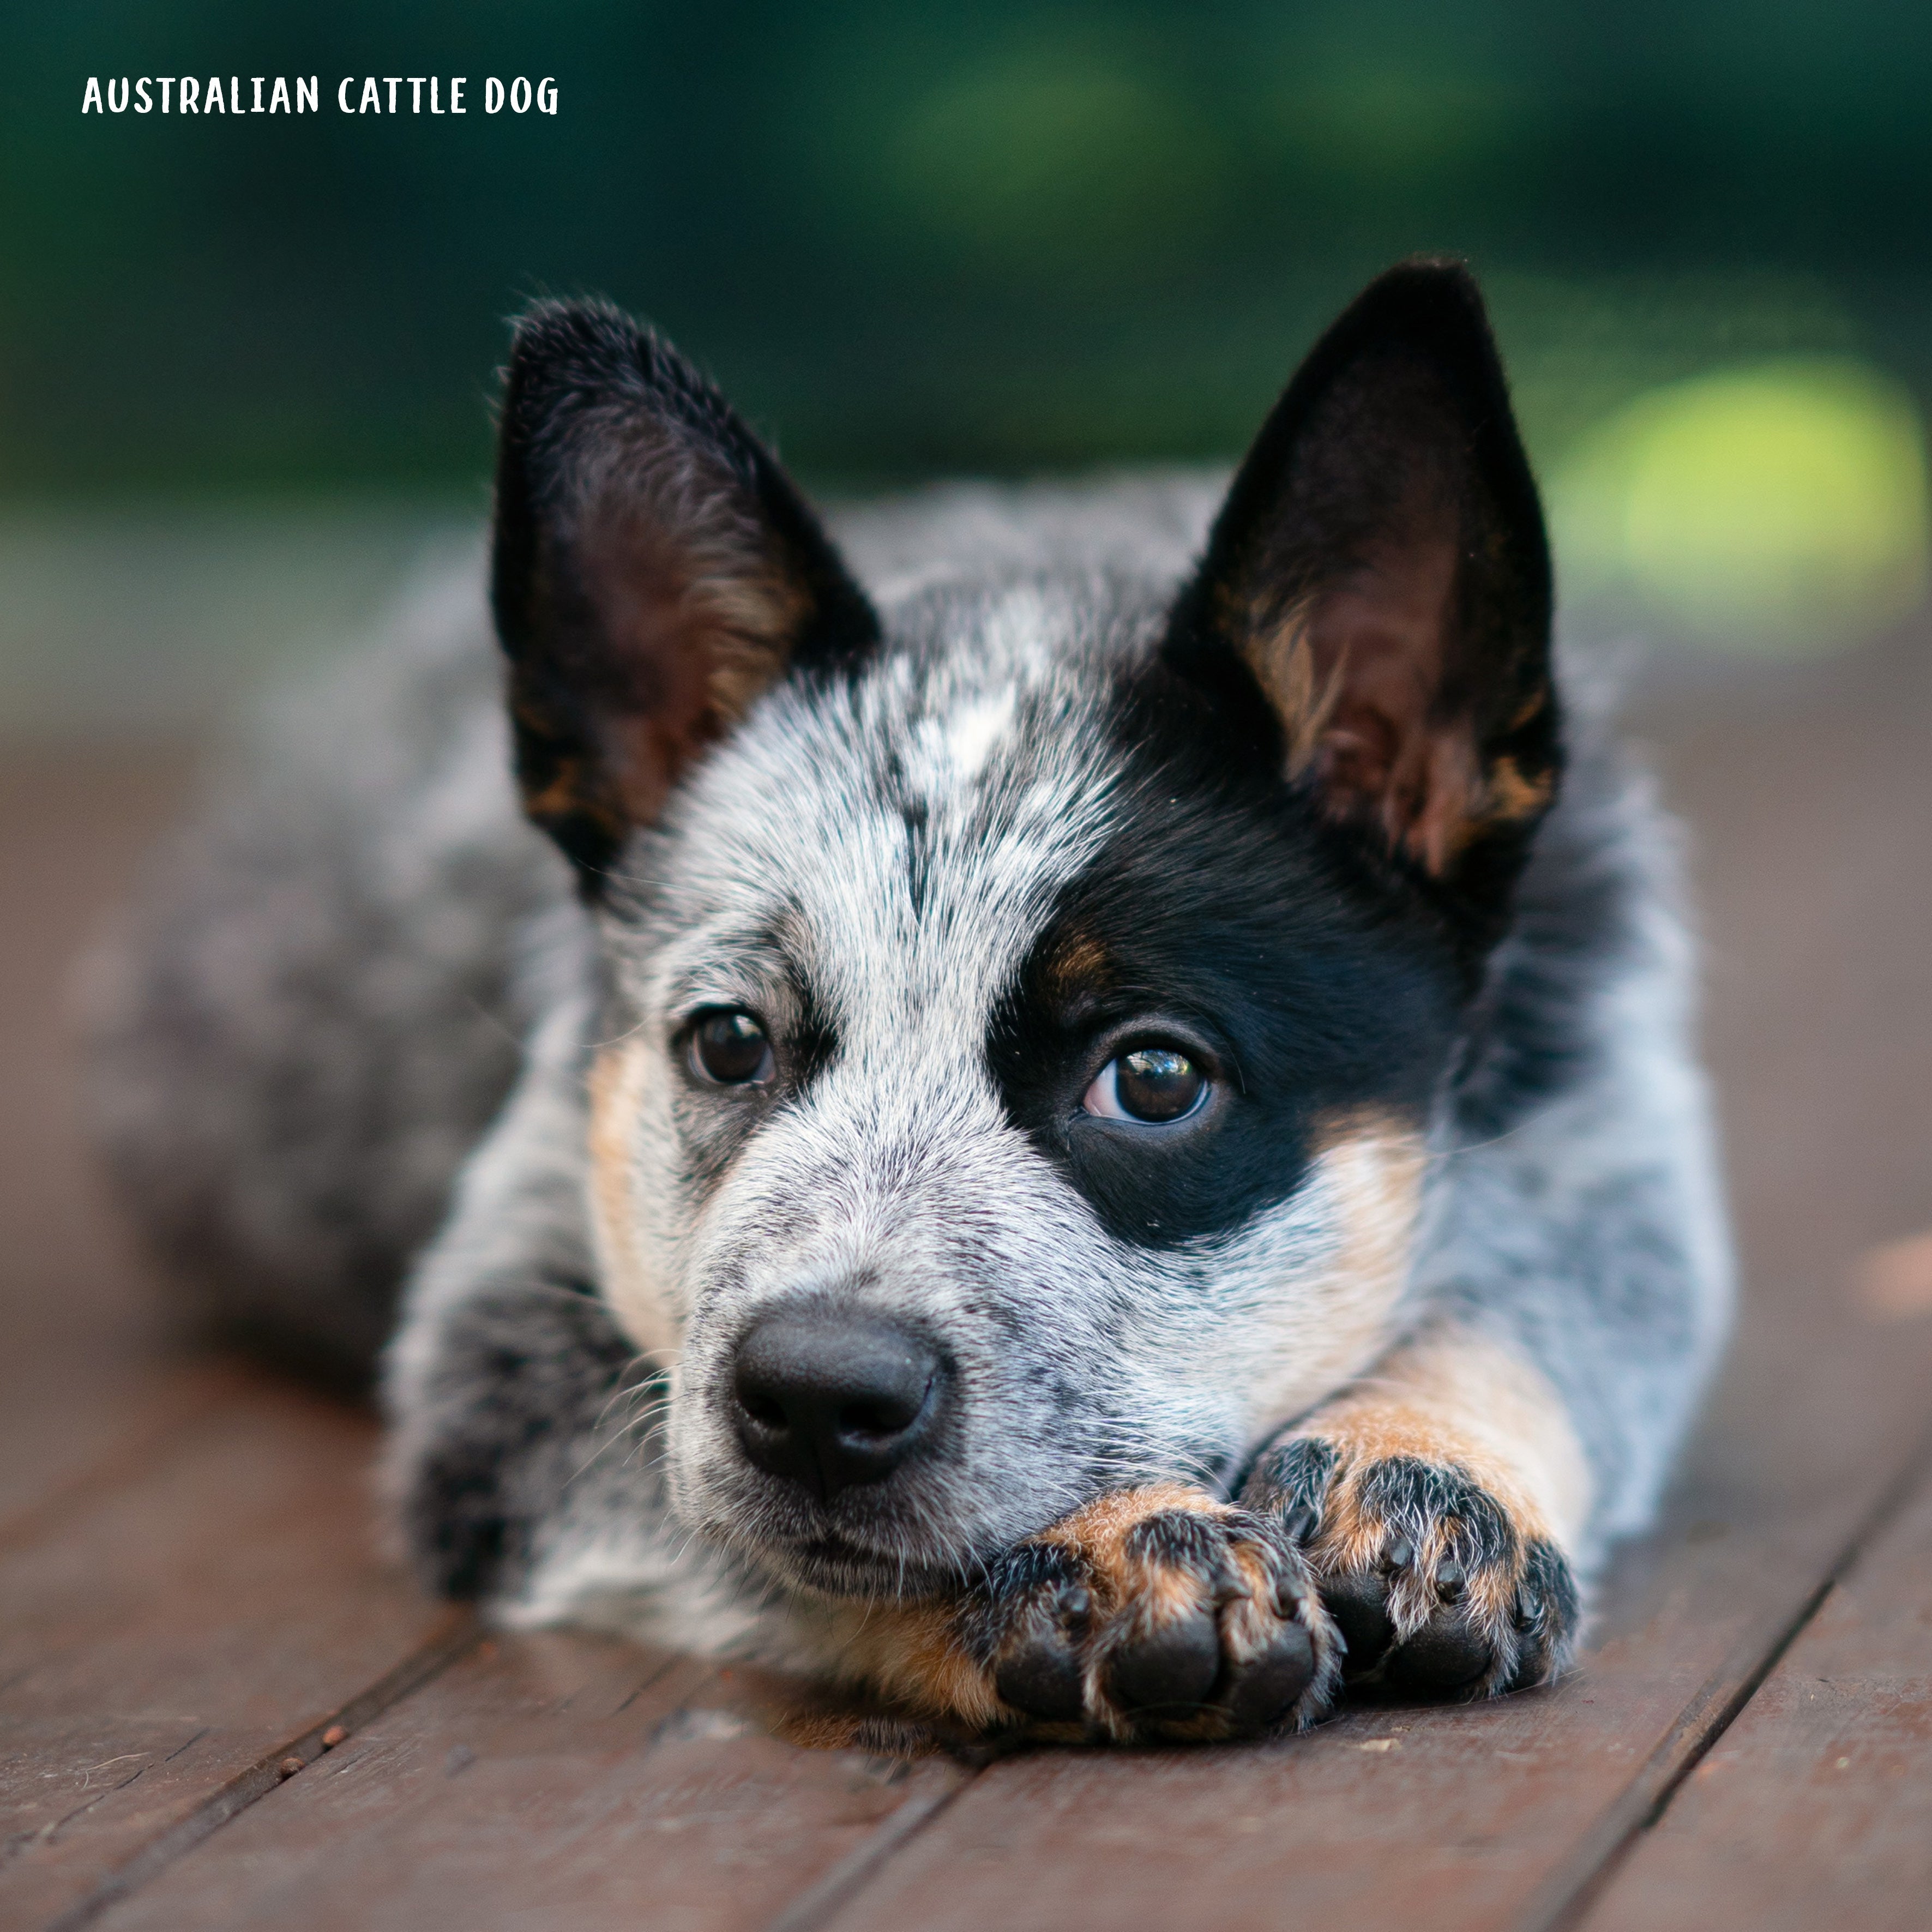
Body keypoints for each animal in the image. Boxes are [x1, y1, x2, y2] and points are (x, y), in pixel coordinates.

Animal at [91, 249, 1731, 1746]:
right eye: (726, 1042)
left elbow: (1547, 1308)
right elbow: (736, 1516)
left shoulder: (1608, 1115)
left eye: (1154, 1076)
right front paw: (1089, 1559)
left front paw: (1423, 1480)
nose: (820, 1394)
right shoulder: (504, 1322)